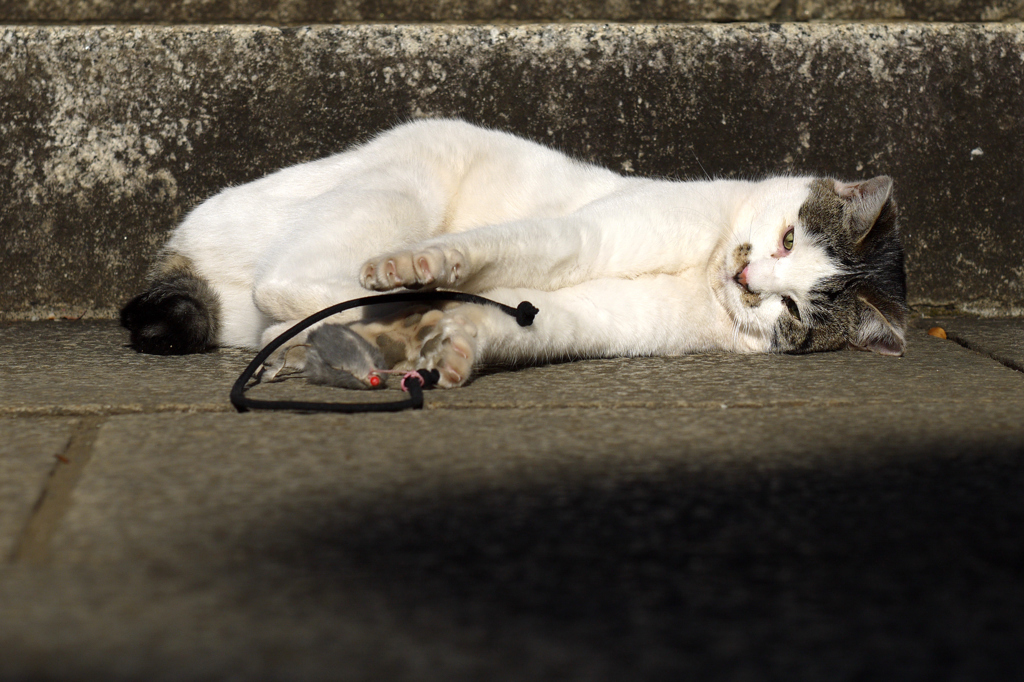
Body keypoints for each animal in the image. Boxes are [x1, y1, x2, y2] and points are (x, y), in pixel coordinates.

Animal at [117, 118, 905, 387]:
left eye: (794, 310)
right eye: (787, 237)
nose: (750, 277)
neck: (703, 273)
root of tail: (181, 247)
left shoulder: (594, 314)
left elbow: (511, 320)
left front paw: (455, 346)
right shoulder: (585, 234)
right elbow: (483, 251)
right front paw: (422, 274)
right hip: (405, 175)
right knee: (284, 284)